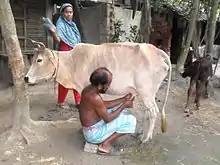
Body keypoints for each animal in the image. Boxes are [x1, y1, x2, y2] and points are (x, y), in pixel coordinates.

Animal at [24, 40, 172, 143]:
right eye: (33, 59)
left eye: (39, 60)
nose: (26, 78)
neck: (72, 63)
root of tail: (157, 51)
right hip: (145, 94)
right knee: (147, 112)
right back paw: (140, 133)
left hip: (146, 93)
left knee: (153, 112)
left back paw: (146, 138)